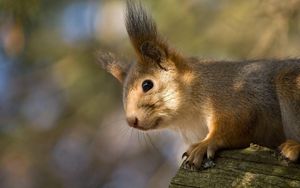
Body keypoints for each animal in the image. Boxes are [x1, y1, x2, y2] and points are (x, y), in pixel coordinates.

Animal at [97, 1, 300, 169]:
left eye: (147, 85)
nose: (131, 121)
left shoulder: (234, 98)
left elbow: (235, 126)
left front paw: (205, 144)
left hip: (291, 85)